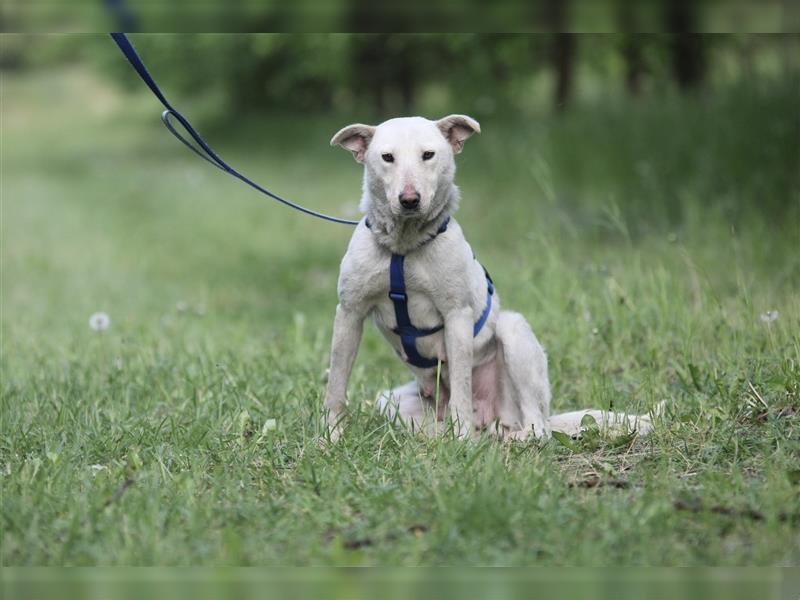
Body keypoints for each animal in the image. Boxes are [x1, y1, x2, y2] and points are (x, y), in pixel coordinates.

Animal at [322, 113, 652, 440]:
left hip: (513, 332)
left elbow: (461, 388)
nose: (410, 199)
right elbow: (336, 384)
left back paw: (513, 436)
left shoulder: (457, 317)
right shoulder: (349, 313)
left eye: (428, 155)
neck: (404, 249)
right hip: (391, 401)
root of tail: (492, 419)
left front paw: (462, 440)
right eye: (387, 157)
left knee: (538, 427)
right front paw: (331, 438)